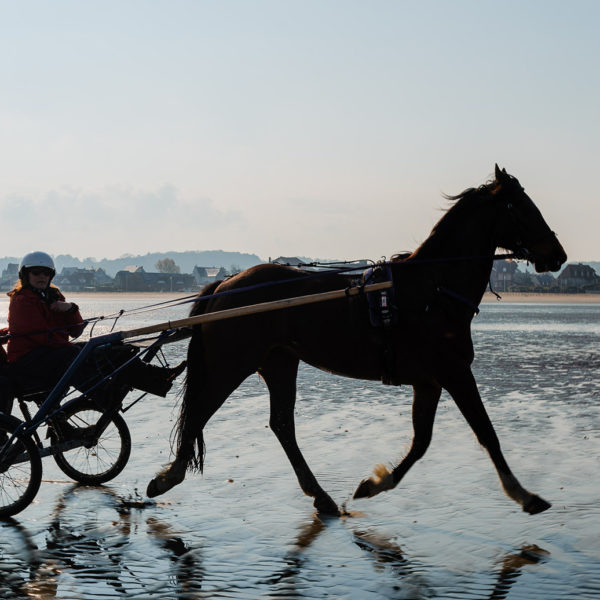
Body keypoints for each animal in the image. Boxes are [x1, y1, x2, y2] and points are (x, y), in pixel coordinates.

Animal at [146, 164, 568, 516]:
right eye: (523, 206)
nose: (558, 254)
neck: (432, 288)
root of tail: (226, 285)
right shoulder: (454, 372)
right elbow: (486, 433)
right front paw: (524, 495)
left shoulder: (430, 381)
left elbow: (422, 442)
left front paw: (375, 483)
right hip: (232, 363)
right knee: (201, 411)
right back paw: (168, 477)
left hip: (279, 362)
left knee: (281, 424)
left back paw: (320, 495)